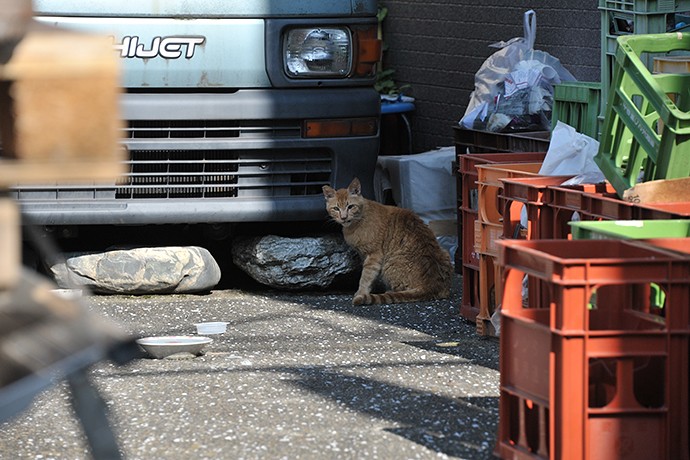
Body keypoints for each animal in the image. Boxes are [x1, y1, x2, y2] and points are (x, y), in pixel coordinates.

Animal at [322, 177, 452, 306]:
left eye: (350, 207)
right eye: (336, 208)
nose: (343, 217)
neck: (358, 220)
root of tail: (432, 284)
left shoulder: (374, 256)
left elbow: (365, 277)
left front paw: (361, 293)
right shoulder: (364, 255)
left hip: (388, 266)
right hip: (445, 253)